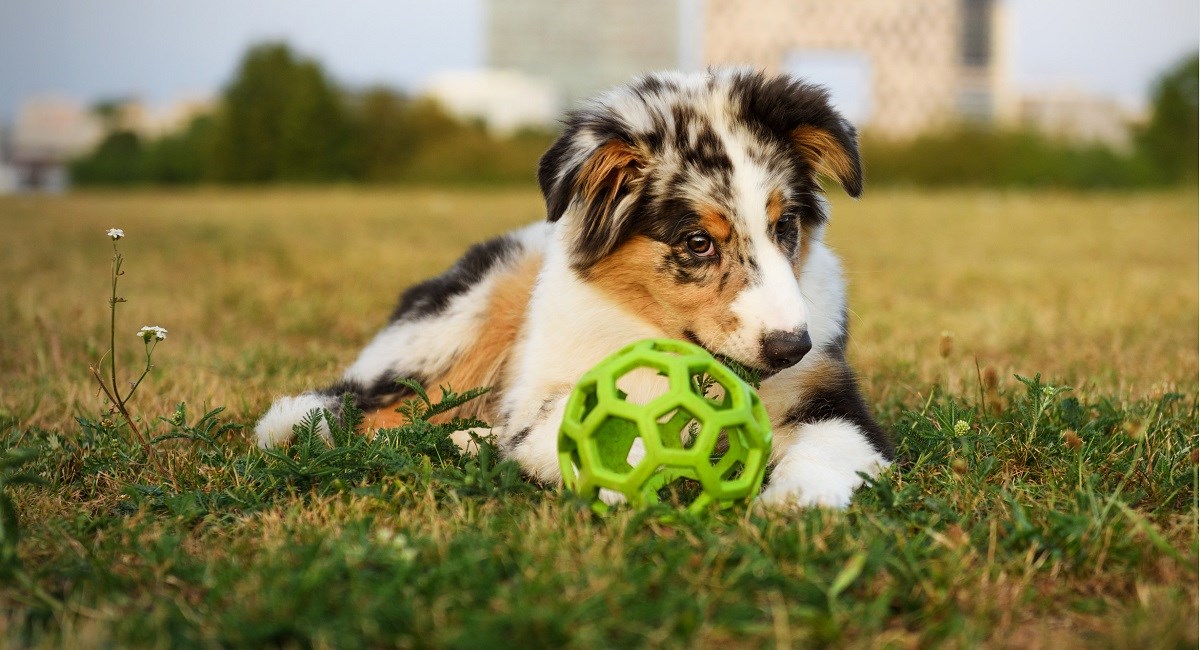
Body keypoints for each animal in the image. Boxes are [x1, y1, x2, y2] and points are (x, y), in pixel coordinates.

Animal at [258, 70, 897, 508]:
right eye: (697, 243)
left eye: (784, 226)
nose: (792, 348)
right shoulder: (549, 391)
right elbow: (583, 434)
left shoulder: (831, 401)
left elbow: (830, 449)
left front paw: (794, 506)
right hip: (470, 315)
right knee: (377, 415)